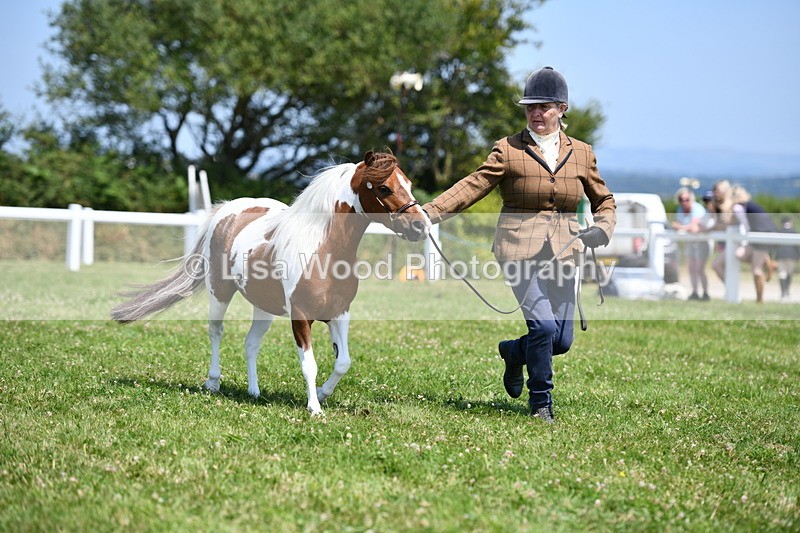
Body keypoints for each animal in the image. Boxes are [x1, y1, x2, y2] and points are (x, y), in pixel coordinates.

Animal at [111, 151, 431, 416]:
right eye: (384, 187)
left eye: (408, 183)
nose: (421, 226)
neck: (324, 249)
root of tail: (226, 211)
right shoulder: (300, 316)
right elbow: (309, 364)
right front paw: (315, 408)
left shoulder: (340, 314)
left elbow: (343, 362)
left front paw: (323, 395)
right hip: (219, 293)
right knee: (216, 332)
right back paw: (213, 382)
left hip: (263, 307)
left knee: (251, 343)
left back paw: (254, 392)